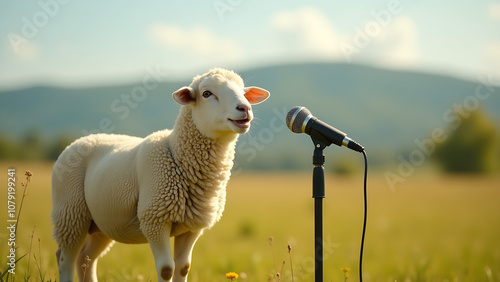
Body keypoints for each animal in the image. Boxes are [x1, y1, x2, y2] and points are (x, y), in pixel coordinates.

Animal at [50, 67, 270, 280]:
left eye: (244, 93)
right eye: (207, 93)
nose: (245, 108)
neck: (177, 155)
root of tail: (80, 140)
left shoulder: (192, 227)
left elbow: (183, 268)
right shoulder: (154, 220)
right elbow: (166, 269)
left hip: (102, 222)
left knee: (85, 258)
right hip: (70, 213)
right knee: (65, 258)